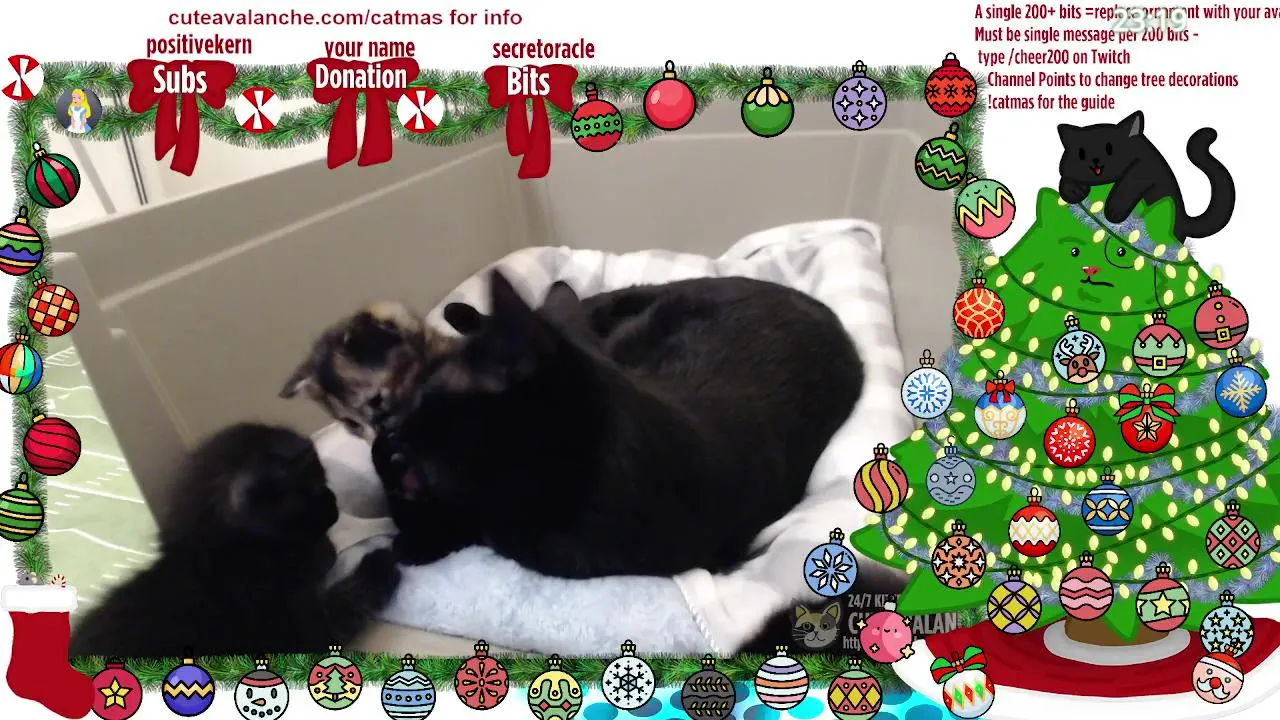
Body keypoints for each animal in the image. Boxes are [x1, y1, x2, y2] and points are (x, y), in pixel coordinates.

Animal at [1057, 110, 1234, 240]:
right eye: (1081, 154)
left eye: (1110, 149)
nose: (1095, 161)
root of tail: (1183, 219)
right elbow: (1065, 180)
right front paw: (1075, 192)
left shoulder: (1145, 169)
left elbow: (1127, 184)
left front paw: (1113, 212)